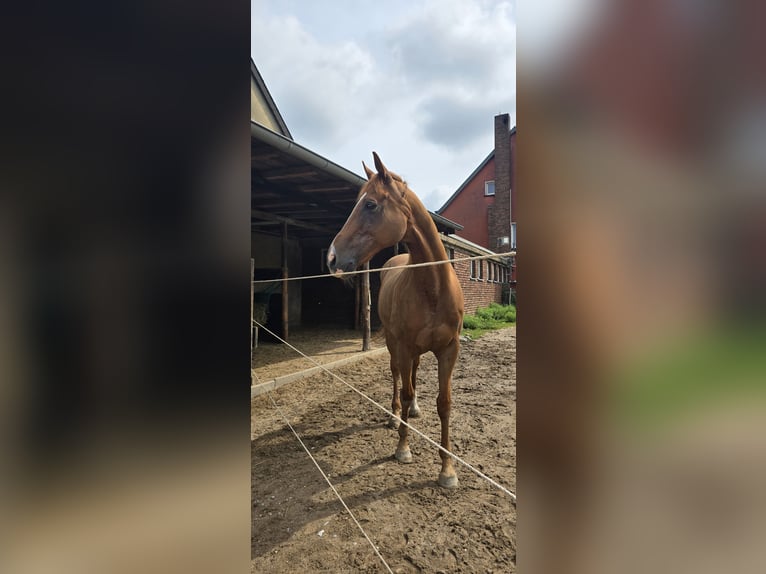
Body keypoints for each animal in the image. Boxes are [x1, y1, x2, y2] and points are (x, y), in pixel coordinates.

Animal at [328, 153, 464, 490]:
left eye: (370, 204)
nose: (332, 258)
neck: (432, 288)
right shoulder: (402, 346)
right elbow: (404, 390)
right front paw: (403, 448)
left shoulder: (449, 350)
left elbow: (444, 403)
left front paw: (447, 469)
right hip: (394, 345)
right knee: (397, 377)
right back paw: (395, 415)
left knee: (412, 372)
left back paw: (412, 411)